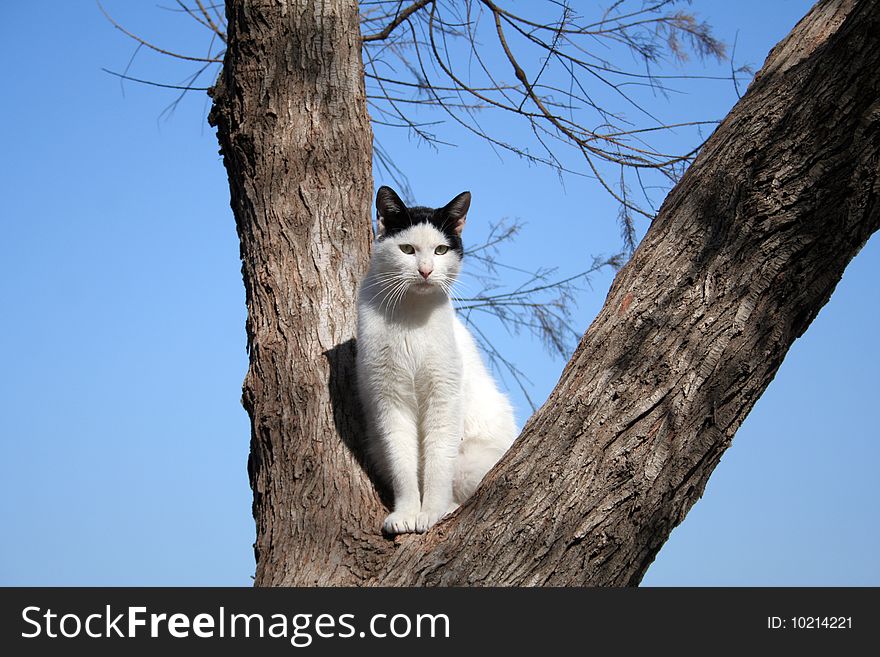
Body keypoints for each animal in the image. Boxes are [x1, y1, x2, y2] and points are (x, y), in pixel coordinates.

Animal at [356, 186, 520, 532]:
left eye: (441, 250)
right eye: (407, 249)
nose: (426, 271)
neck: (411, 315)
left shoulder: (443, 396)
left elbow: (437, 463)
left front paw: (431, 511)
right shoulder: (390, 399)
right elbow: (402, 463)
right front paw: (406, 514)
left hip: (469, 460)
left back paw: (449, 507)